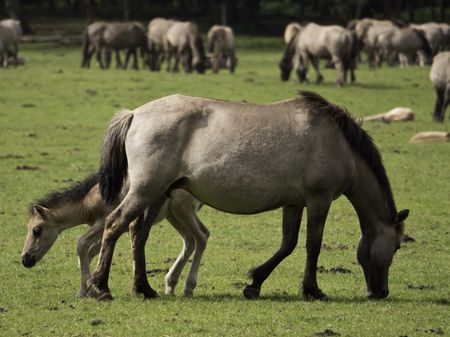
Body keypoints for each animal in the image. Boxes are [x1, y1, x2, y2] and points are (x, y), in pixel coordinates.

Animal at [21, 173, 209, 296]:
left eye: (37, 230)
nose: (25, 259)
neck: (90, 200)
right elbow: (91, 252)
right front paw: (92, 288)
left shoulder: (103, 223)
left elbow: (82, 244)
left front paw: (84, 291)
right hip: (173, 215)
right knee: (189, 240)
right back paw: (170, 285)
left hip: (183, 210)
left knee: (202, 236)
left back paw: (188, 287)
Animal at [89, 90, 410, 300]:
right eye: (396, 247)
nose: (380, 292)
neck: (338, 143)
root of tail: (134, 114)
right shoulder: (319, 199)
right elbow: (312, 245)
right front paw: (312, 290)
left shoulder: (294, 203)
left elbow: (288, 244)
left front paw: (254, 284)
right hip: (146, 190)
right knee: (115, 225)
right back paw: (102, 288)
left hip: (156, 194)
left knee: (137, 232)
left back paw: (143, 288)